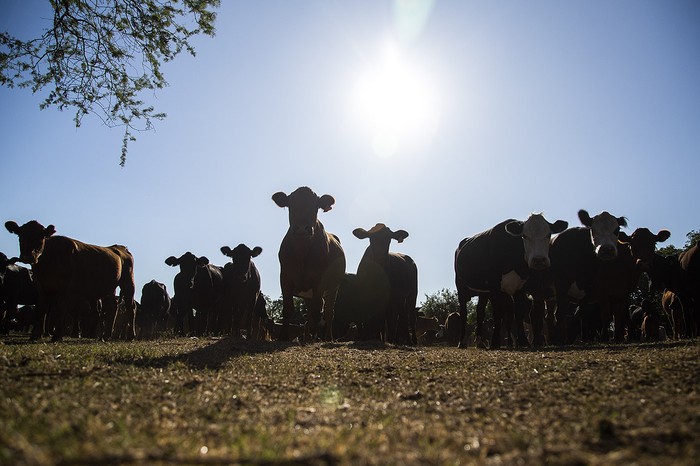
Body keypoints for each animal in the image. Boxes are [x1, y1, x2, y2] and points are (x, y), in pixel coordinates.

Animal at [4, 220, 135, 340]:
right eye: (20, 237)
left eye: (41, 238)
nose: (28, 257)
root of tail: (120, 248)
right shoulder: (41, 286)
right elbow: (42, 309)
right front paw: (36, 335)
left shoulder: (65, 287)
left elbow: (61, 308)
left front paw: (57, 336)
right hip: (109, 288)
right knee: (112, 307)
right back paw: (105, 335)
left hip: (128, 282)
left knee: (130, 307)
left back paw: (130, 336)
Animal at [272, 187, 346, 342]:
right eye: (291, 205)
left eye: (315, 206)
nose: (302, 227)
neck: (302, 251)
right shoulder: (285, 277)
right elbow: (287, 309)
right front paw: (283, 337)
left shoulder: (319, 280)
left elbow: (317, 311)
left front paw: (313, 337)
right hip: (308, 295)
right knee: (312, 313)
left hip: (333, 287)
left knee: (328, 312)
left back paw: (327, 337)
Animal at [454, 213, 568, 348]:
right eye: (524, 236)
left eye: (548, 235)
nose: (539, 260)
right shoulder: (495, 287)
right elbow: (497, 313)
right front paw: (495, 342)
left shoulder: (521, 287)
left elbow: (518, 313)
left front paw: (523, 341)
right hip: (461, 287)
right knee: (464, 313)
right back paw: (462, 342)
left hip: (483, 292)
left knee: (480, 312)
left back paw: (480, 342)